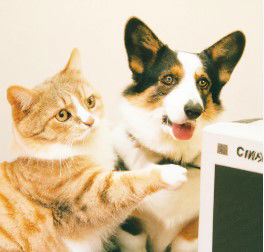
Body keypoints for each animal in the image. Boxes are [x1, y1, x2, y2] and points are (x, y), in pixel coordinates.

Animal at [0, 49, 186, 252]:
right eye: (62, 115)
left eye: (90, 101)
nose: (90, 121)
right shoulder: (89, 196)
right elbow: (126, 184)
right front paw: (168, 172)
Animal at [113, 16, 245, 251]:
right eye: (168, 79)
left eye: (203, 83)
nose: (194, 110)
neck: (170, 156)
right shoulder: (131, 230)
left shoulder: (191, 232)